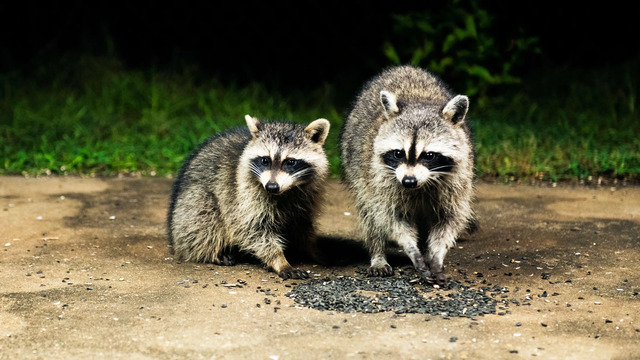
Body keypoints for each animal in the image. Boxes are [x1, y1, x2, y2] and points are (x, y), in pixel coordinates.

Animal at [168, 114, 330, 280]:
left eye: (291, 162)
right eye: (265, 160)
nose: (271, 187)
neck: (286, 191)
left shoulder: (307, 196)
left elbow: (303, 225)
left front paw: (313, 249)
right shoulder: (244, 196)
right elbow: (252, 230)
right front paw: (279, 260)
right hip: (192, 204)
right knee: (205, 221)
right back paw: (212, 253)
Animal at [340, 64, 476, 284]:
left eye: (429, 155)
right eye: (398, 153)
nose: (409, 181)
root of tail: (403, 67)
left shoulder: (458, 178)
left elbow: (448, 219)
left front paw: (436, 253)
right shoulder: (381, 179)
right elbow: (392, 217)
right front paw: (412, 250)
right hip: (355, 165)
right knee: (369, 212)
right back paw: (378, 253)